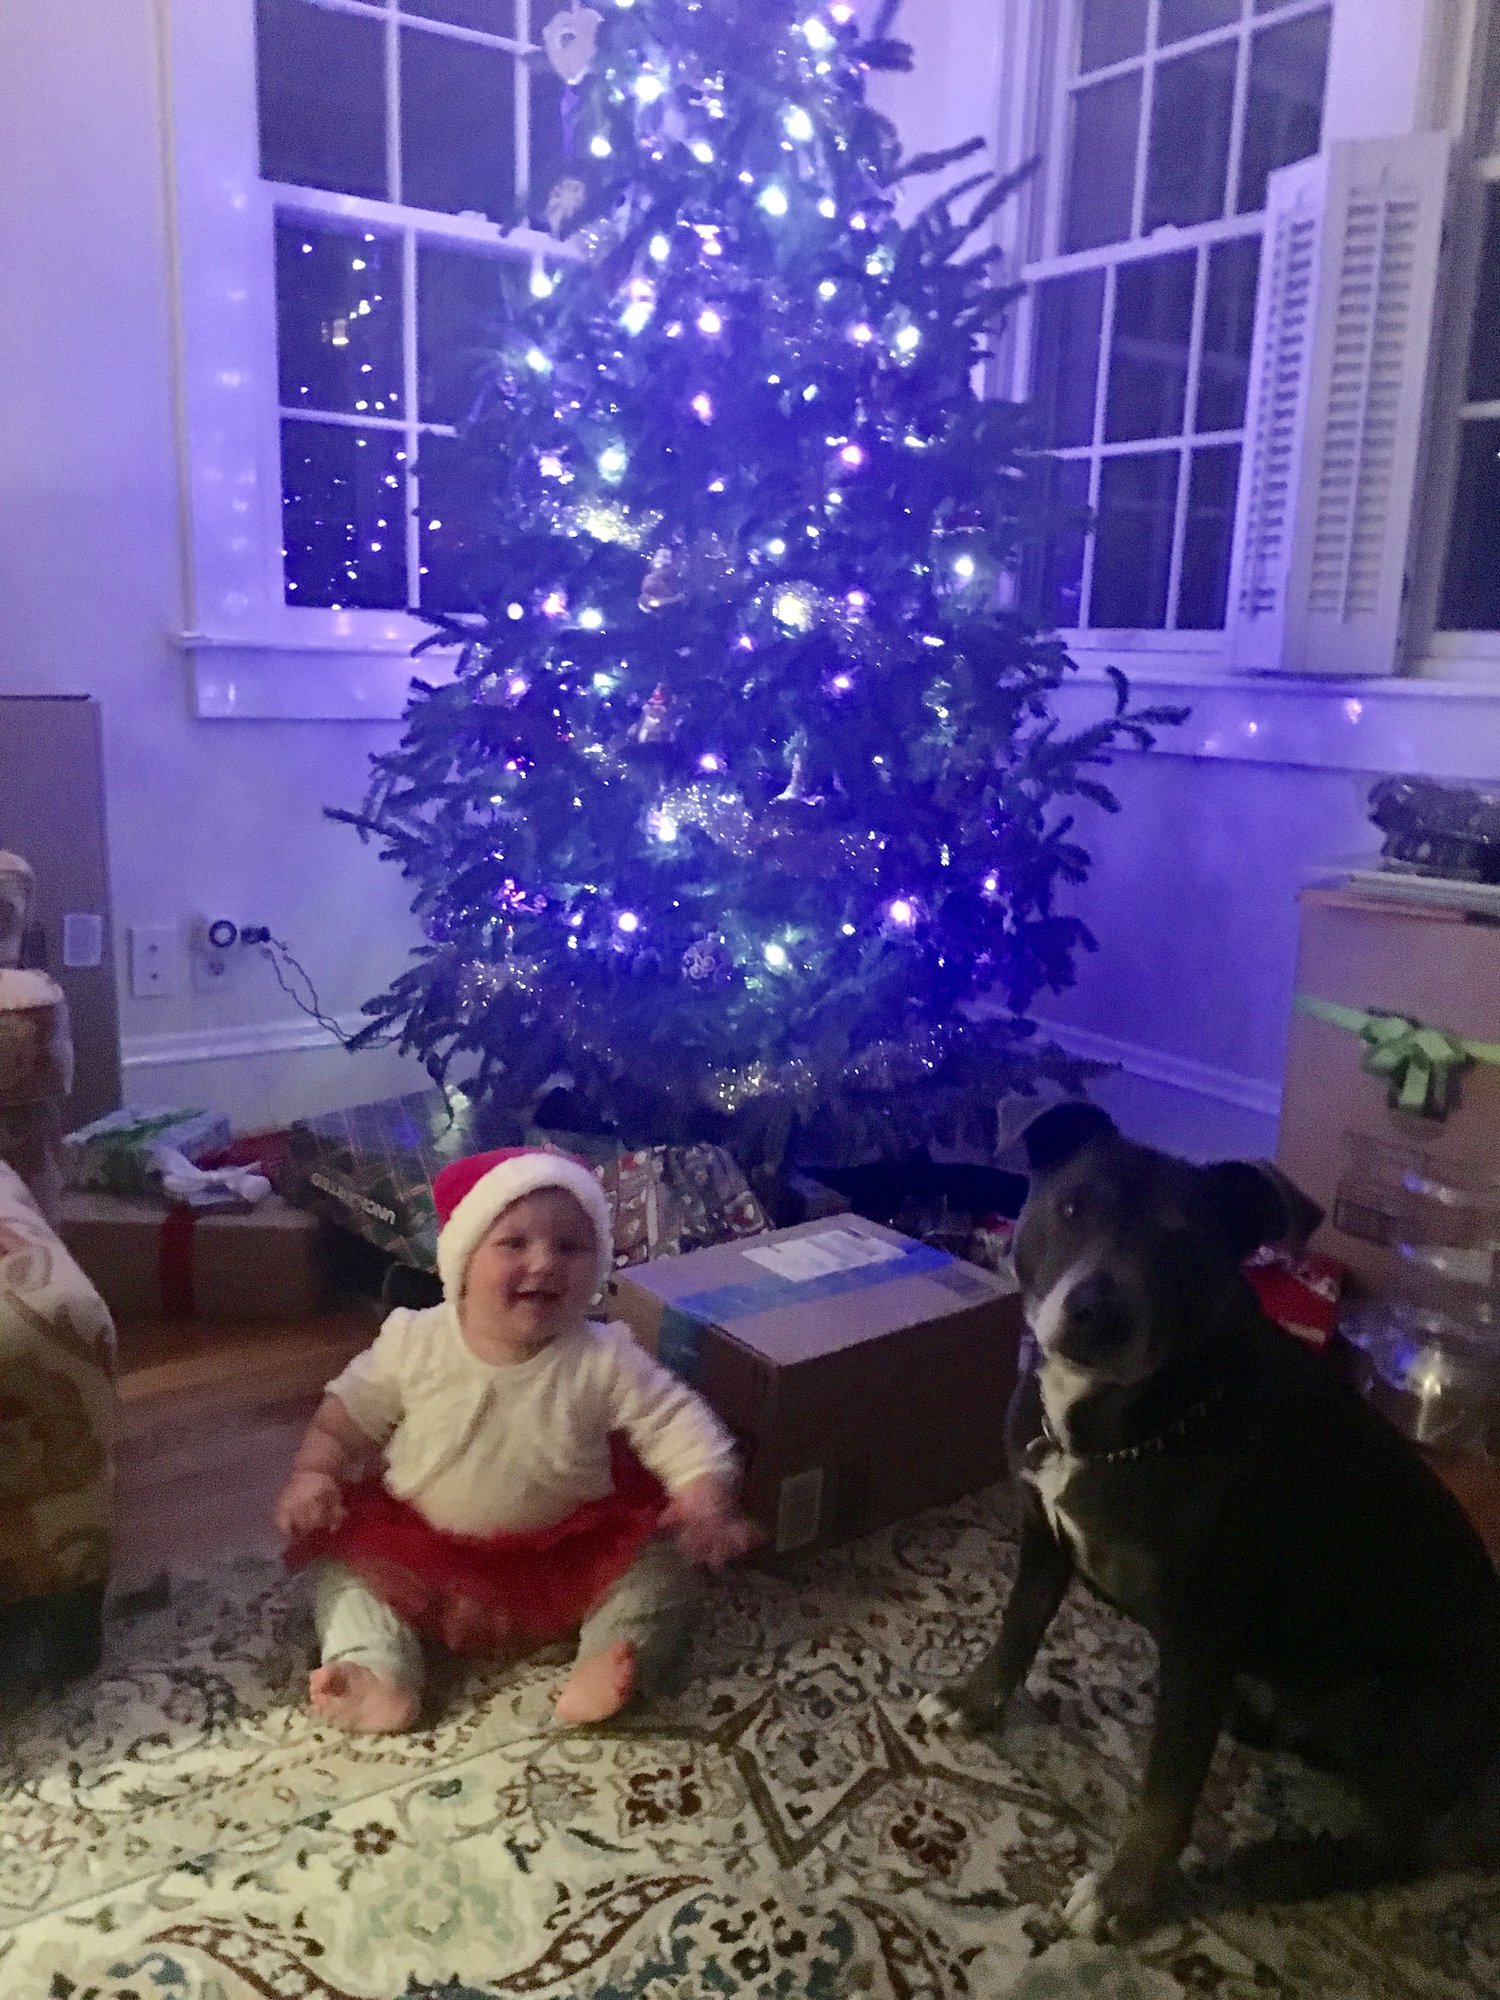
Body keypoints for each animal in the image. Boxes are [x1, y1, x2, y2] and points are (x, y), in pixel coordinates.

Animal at [924, 1102, 1500, 1940]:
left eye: (1185, 1240)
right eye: (1073, 1207)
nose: (1097, 1313)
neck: (1124, 1425)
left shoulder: (1200, 1634)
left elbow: (1168, 1789)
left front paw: (1124, 1896)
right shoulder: (1040, 1536)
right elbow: (1017, 1628)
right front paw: (972, 1702)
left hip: (1389, 1707)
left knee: (1404, 1843)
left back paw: (1288, 1864)